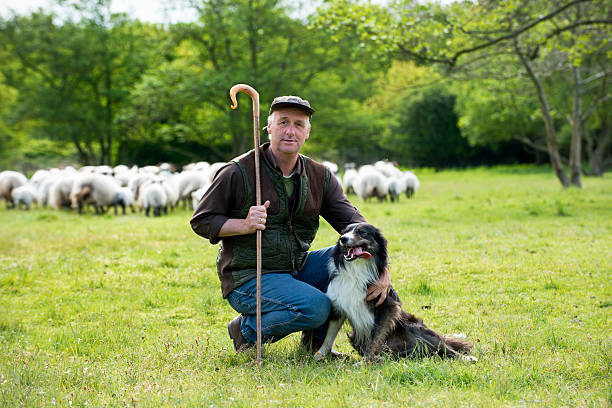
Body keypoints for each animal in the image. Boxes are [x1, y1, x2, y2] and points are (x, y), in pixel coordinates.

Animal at [316, 223, 478, 364]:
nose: (343, 239)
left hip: (415, 327)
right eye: (344, 232)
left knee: (444, 348)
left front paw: (365, 362)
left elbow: (375, 339)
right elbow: (329, 335)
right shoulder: (339, 306)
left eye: (362, 232)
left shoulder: (387, 307)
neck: (357, 268)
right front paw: (320, 354)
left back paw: (467, 358)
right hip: (356, 337)